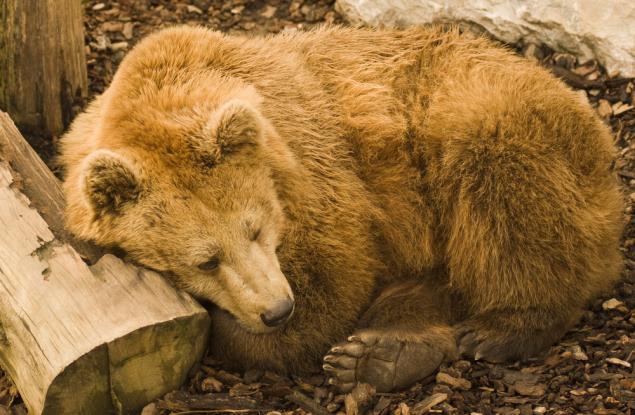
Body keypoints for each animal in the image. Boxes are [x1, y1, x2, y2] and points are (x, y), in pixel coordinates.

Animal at [59, 24, 628, 394]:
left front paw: (245, 332)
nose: (276, 309)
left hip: (497, 131)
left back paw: (498, 330)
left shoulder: (318, 169)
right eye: (205, 260)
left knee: (506, 188)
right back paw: (384, 356)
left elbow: (335, 278)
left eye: (256, 229)